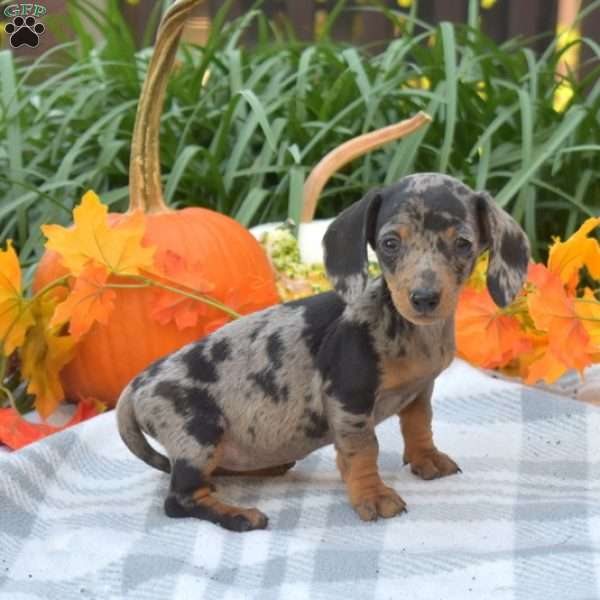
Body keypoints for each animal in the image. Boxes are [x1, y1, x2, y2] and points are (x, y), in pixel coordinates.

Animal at [115, 172, 528, 528]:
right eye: (390, 243)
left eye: (463, 244)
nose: (424, 298)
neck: (411, 334)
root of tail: (135, 387)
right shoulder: (349, 398)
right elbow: (364, 450)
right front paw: (372, 495)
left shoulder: (419, 390)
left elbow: (418, 425)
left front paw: (426, 459)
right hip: (198, 432)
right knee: (179, 500)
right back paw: (238, 515)